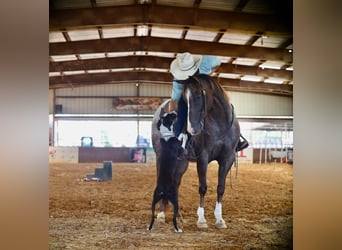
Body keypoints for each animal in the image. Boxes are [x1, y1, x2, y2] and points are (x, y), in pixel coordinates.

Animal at [151, 73, 239, 229]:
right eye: (184, 100)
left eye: (198, 96)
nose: (192, 129)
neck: (220, 126)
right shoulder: (202, 158)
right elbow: (203, 187)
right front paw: (202, 219)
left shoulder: (227, 158)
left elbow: (221, 187)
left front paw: (220, 219)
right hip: (161, 157)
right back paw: (161, 215)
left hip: (181, 163)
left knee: (175, 184)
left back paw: (178, 216)